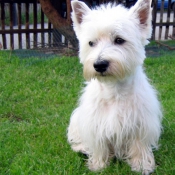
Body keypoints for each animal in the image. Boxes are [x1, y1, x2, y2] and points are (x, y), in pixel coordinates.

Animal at [67, 0, 163, 174]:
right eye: (91, 43)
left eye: (119, 40)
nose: (99, 65)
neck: (114, 89)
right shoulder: (95, 124)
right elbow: (99, 146)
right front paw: (99, 165)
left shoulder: (141, 124)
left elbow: (139, 146)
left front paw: (142, 165)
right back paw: (81, 148)